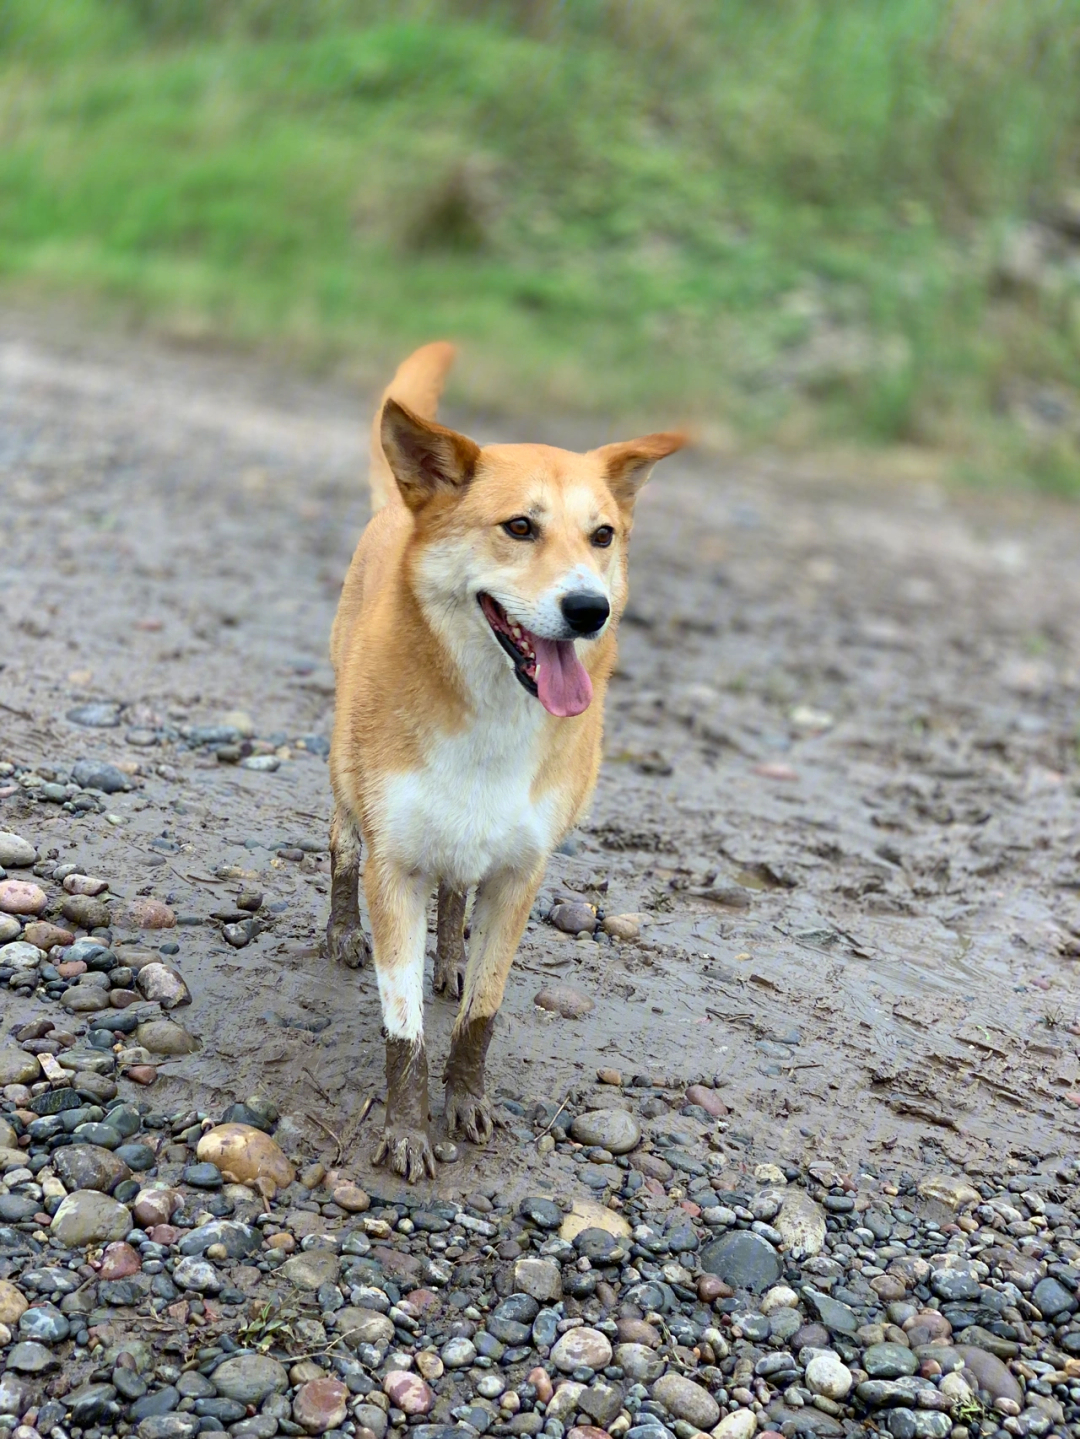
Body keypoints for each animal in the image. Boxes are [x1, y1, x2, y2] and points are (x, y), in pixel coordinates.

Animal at [327, 345, 684, 1179]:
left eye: (602, 535)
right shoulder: (393, 865)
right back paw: (341, 932)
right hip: (343, 782)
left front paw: (467, 1099)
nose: (590, 610)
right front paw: (407, 1130)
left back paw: (451, 956)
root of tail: (398, 509)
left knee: (458, 892)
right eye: (519, 527)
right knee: (337, 847)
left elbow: (481, 1011)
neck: (492, 712)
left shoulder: (522, 870)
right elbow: (403, 1028)